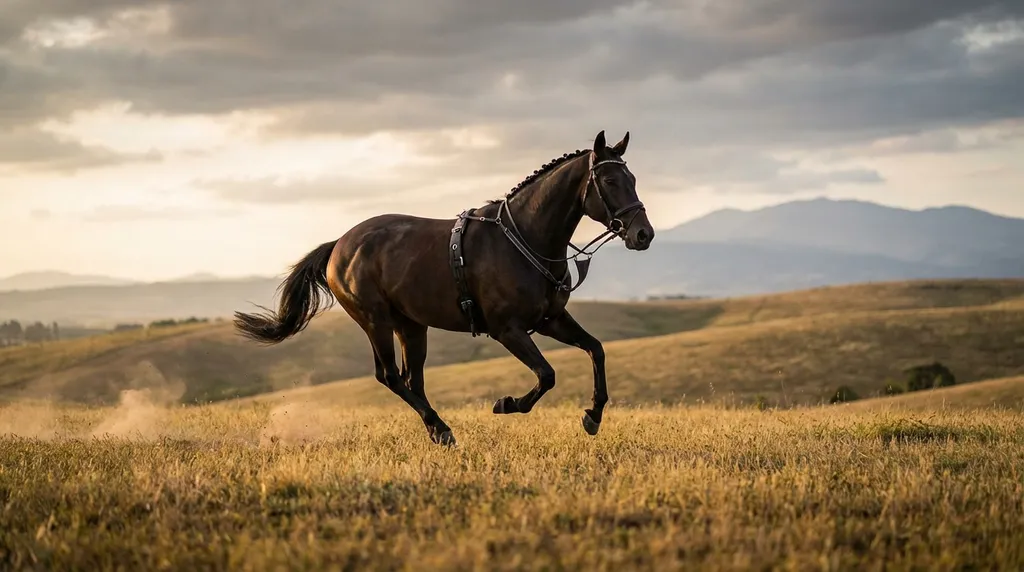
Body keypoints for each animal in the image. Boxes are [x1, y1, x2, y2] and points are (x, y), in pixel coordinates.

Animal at [234, 130, 655, 446]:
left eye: (632, 179)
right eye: (610, 181)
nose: (643, 234)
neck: (524, 238)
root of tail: (340, 245)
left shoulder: (550, 319)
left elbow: (595, 349)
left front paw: (593, 415)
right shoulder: (508, 330)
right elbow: (546, 375)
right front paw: (507, 403)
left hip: (411, 326)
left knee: (411, 380)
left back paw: (438, 430)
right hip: (376, 322)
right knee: (391, 377)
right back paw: (441, 428)